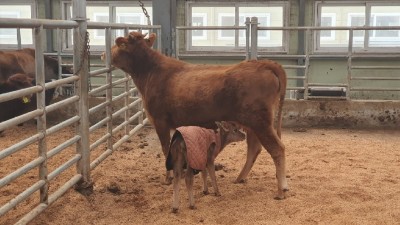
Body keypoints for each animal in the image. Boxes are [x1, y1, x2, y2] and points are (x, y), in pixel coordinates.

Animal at [108, 31, 290, 199]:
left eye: (120, 44)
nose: (106, 54)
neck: (150, 73)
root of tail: (264, 64)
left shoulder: (160, 121)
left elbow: (166, 148)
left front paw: (168, 178)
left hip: (259, 122)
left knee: (277, 149)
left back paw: (281, 190)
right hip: (252, 123)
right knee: (254, 148)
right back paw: (241, 178)